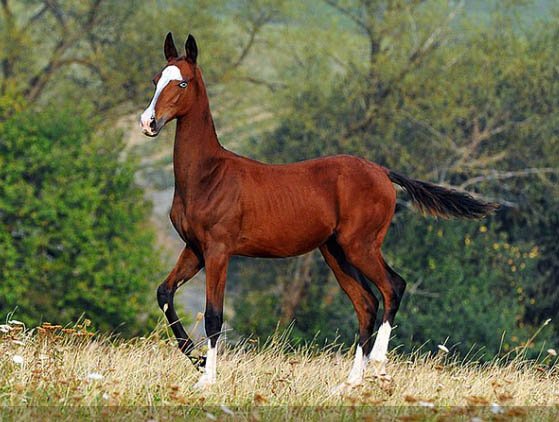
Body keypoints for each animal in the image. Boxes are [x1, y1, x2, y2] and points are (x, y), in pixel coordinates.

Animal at [141, 32, 498, 390]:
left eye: (183, 83)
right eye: (156, 79)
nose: (148, 123)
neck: (208, 175)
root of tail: (383, 172)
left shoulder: (218, 250)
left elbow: (214, 315)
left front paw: (207, 379)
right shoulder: (194, 249)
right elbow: (164, 293)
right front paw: (199, 361)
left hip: (360, 246)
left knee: (392, 287)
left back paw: (378, 366)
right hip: (335, 251)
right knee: (366, 304)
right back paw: (350, 383)